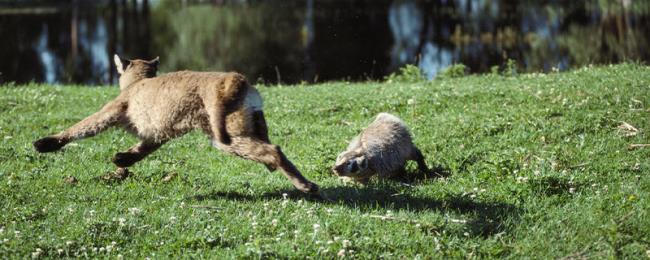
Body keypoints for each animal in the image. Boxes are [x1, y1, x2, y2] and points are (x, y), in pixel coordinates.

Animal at [31, 54, 320, 193]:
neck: (140, 80)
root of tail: (236, 78)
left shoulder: (110, 112)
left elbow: (80, 127)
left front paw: (45, 143)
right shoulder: (160, 132)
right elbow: (143, 149)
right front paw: (123, 159)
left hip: (227, 136)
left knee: (273, 151)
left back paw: (305, 186)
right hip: (250, 125)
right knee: (274, 148)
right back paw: (306, 183)